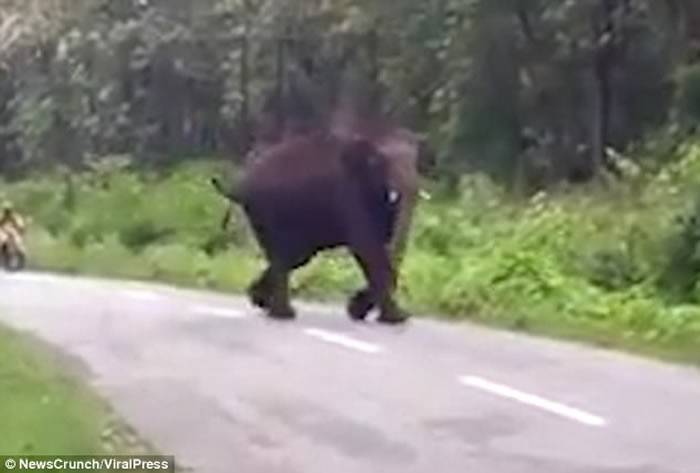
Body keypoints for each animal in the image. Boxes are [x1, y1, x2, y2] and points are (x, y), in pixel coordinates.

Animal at [211, 133, 412, 324]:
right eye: (380, 166)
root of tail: (240, 186)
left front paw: (358, 312)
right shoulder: (349, 195)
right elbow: (367, 248)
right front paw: (397, 319)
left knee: (294, 257)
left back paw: (261, 301)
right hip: (272, 210)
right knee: (286, 257)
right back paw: (283, 315)